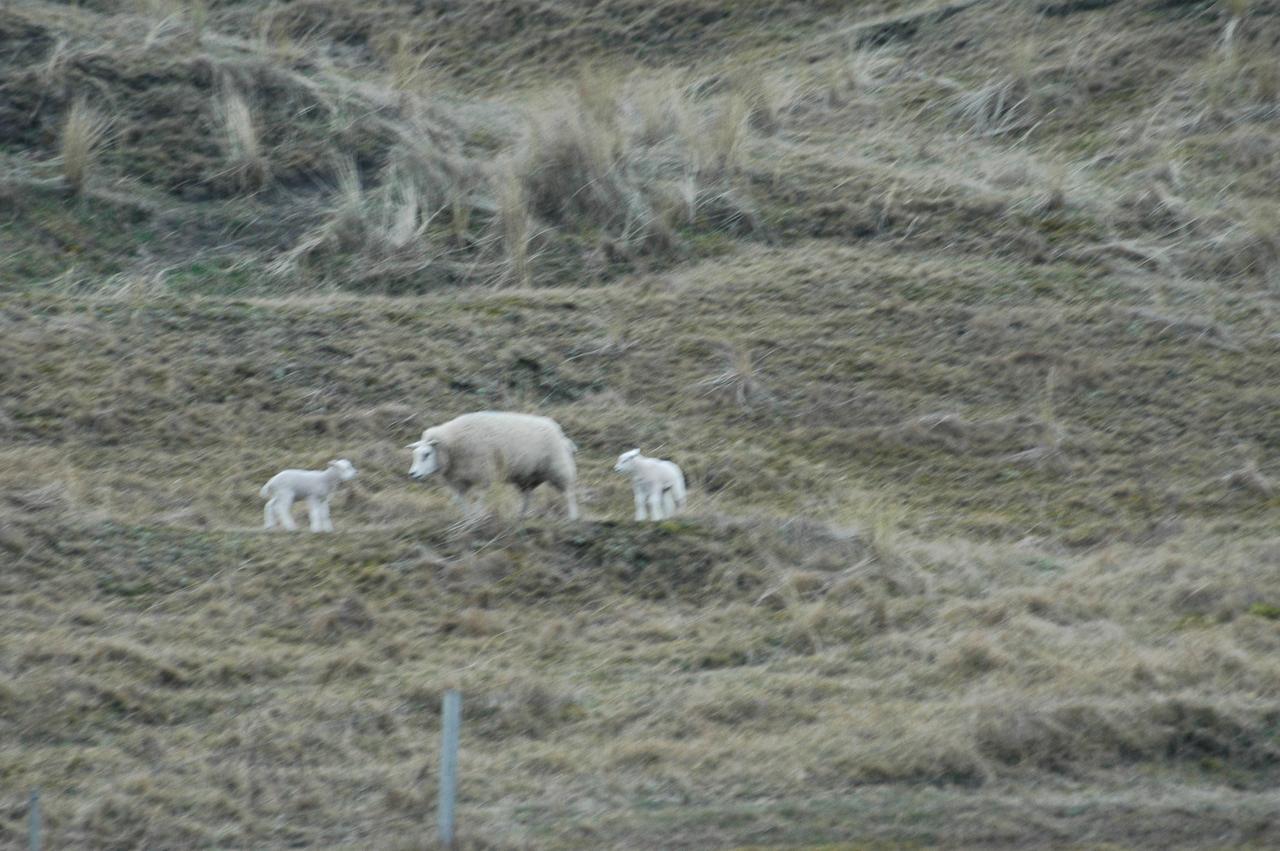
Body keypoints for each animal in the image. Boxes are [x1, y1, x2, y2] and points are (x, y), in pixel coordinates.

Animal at [407, 409, 578, 522]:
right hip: (528, 476)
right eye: (414, 455)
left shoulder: (482, 472)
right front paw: (467, 518)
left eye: (426, 454)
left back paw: (573, 516)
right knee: (527, 495)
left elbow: (479, 496)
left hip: (558, 466)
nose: (412, 474)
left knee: (569, 492)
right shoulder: (459, 479)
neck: (451, 447)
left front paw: (477, 516)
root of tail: (560, 433)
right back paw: (521, 515)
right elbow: (461, 500)